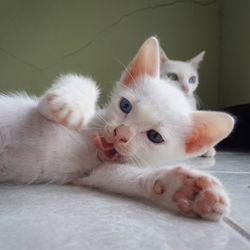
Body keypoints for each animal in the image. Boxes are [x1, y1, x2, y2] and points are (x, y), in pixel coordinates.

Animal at [0, 36, 234, 220]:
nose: (121, 133)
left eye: (155, 136)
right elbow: (81, 82)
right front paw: (71, 105)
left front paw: (184, 189)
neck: (93, 149)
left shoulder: (93, 173)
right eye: (125, 105)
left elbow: (121, 177)